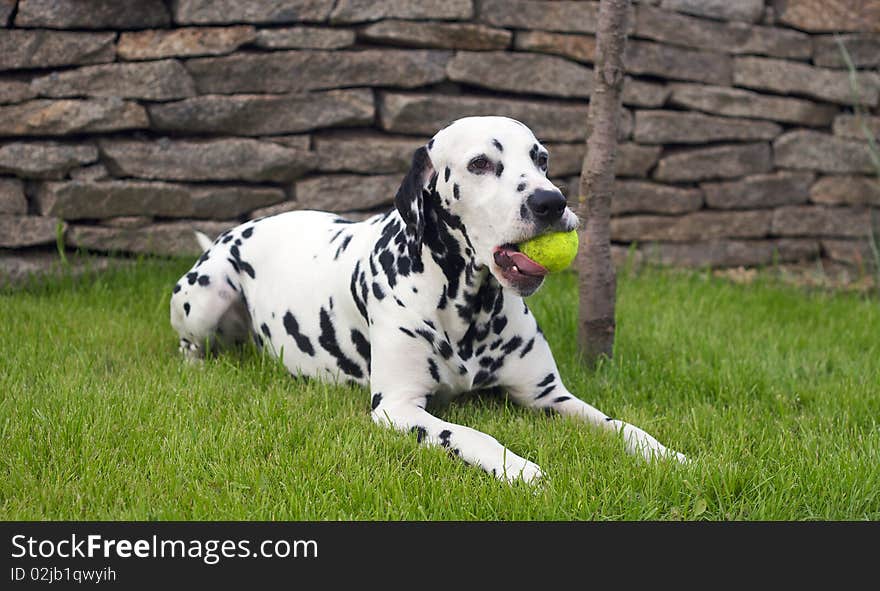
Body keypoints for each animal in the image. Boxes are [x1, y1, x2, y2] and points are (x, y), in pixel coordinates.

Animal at [168, 117, 684, 486]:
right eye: (481, 164)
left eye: (541, 158)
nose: (551, 202)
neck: (469, 305)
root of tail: (237, 228)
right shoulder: (397, 408)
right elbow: (472, 435)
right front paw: (519, 468)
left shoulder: (550, 396)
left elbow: (619, 424)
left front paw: (665, 452)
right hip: (207, 293)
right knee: (189, 346)